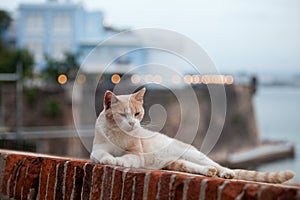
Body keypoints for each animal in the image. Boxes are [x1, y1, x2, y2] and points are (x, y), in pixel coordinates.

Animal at [89, 87, 296, 183]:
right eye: (123, 115)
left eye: (137, 113)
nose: (133, 123)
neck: (119, 134)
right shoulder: (96, 151)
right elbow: (102, 154)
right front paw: (109, 158)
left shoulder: (137, 155)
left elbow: (128, 157)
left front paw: (119, 160)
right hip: (180, 162)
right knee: (198, 168)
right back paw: (210, 172)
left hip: (193, 153)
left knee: (217, 164)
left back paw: (225, 172)